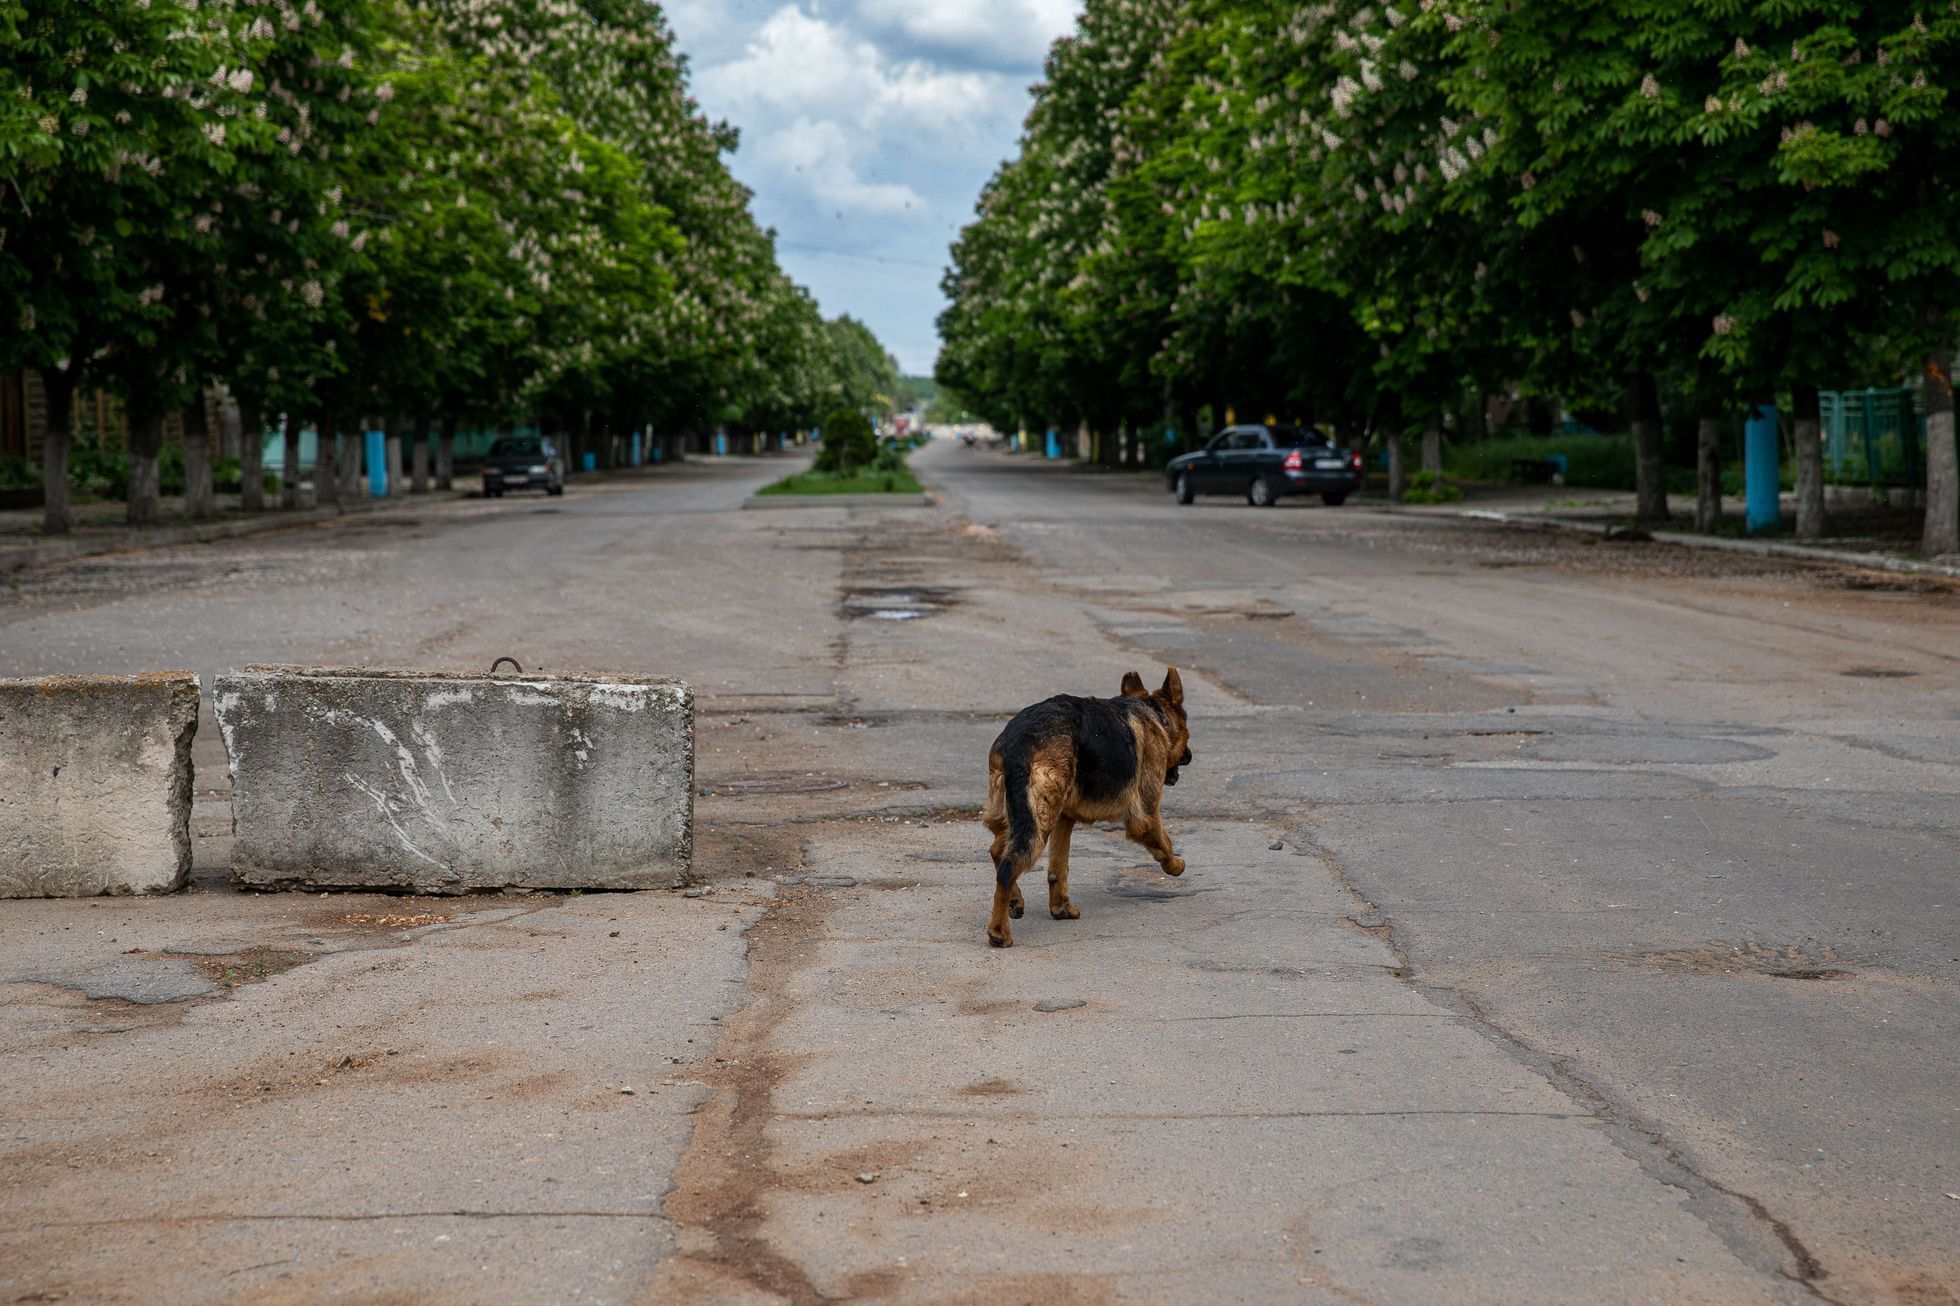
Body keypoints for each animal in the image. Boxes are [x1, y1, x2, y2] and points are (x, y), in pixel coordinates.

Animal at [980, 666, 1191, 941]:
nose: (1189, 756)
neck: (1151, 712)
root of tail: (1018, 740)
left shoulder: (1065, 818)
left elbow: (1058, 868)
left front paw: (1061, 908)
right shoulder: (1146, 813)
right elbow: (1164, 843)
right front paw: (1175, 865)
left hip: (1026, 815)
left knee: (997, 850)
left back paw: (1015, 901)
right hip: (1038, 823)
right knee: (1007, 867)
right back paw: (999, 932)